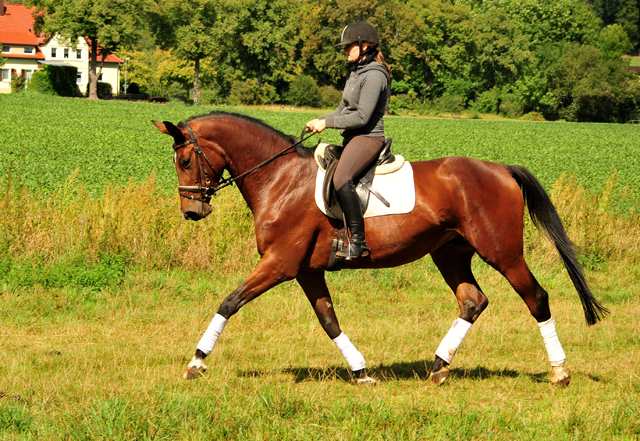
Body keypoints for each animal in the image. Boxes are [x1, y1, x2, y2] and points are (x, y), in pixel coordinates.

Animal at [152, 111, 608, 386]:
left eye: (186, 161)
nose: (192, 212)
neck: (279, 179)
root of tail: (501, 170)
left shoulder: (279, 264)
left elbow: (229, 302)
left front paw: (197, 361)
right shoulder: (306, 271)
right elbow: (329, 321)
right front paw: (361, 372)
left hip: (504, 253)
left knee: (536, 297)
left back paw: (559, 372)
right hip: (450, 254)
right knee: (473, 301)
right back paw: (439, 368)